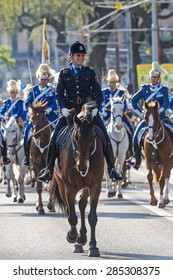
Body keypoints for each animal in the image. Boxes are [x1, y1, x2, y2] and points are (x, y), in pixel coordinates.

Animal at [49, 101, 104, 258]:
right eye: (76, 138)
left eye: (92, 138)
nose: (82, 166)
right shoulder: (69, 186)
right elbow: (72, 215)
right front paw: (72, 236)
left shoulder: (95, 185)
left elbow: (92, 217)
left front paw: (93, 246)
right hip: (61, 184)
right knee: (70, 208)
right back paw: (77, 239)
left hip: (85, 187)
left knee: (81, 204)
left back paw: (82, 238)